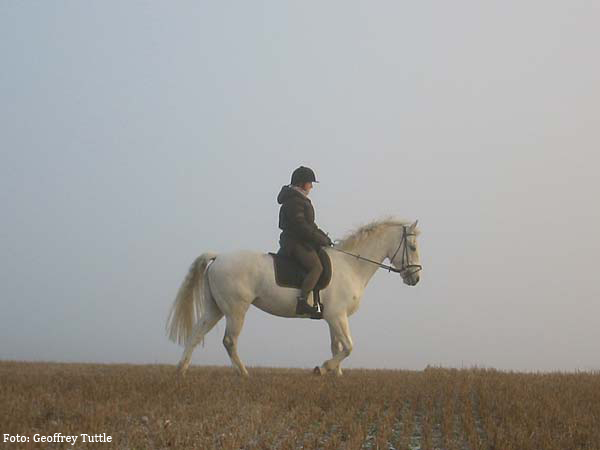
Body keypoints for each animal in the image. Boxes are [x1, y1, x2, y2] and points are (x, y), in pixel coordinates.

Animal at [165, 218, 422, 376]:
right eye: (412, 246)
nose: (415, 278)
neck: (351, 266)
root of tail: (218, 257)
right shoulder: (337, 316)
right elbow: (348, 346)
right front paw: (323, 369)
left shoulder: (333, 317)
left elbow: (336, 345)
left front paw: (336, 374)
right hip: (236, 310)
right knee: (229, 341)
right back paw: (244, 374)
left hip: (215, 308)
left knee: (196, 333)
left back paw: (181, 371)